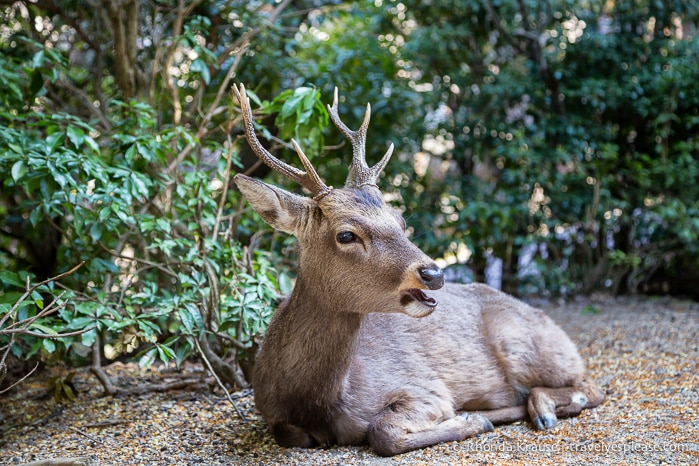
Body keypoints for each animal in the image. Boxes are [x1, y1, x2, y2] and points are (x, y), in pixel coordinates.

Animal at [232, 83, 604, 456]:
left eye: (400, 220)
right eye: (346, 234)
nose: (434, 274)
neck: (314, 400)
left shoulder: (425, 387)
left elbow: (382, 431)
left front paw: (469, 421)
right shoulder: (275, 415)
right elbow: (292, 434)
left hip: (526, 344)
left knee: (590, 386)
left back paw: (536, 411)